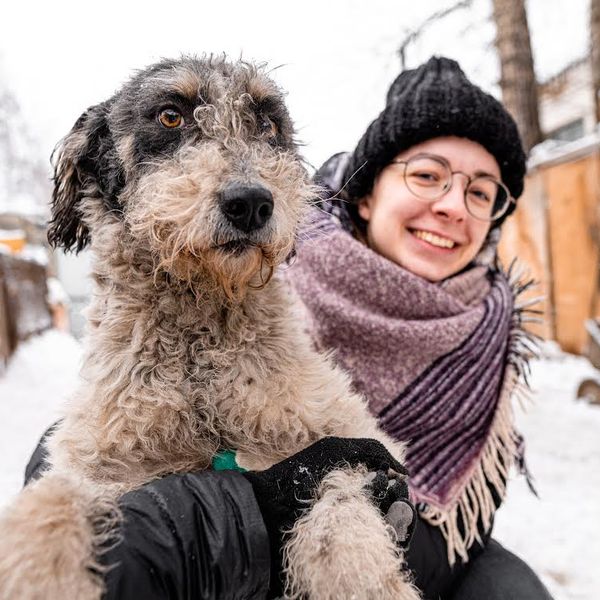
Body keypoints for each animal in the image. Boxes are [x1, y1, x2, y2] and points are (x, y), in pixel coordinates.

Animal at [0, 56, 420, 600]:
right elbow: (54, 497)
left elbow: (342, 501)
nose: (251, 202)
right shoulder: (101, 461)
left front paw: (364, 577)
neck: (200, 367)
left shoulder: (350, 437)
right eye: (170, 115)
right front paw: (38, 569)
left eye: (267, 124)